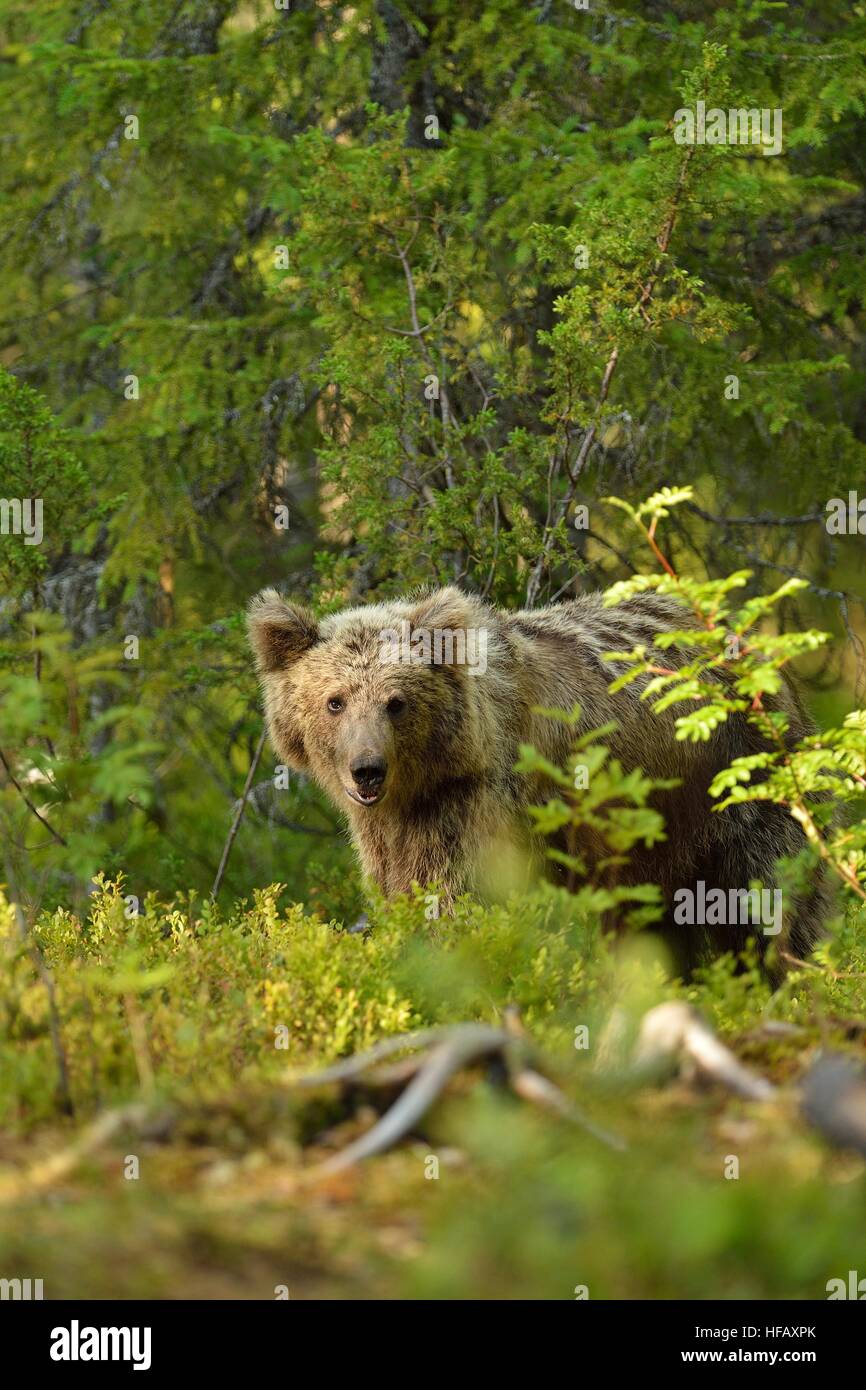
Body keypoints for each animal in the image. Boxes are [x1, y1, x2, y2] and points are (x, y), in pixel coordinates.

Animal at [247, 581, 828, 973]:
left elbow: (459, 901)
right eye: (335, 701)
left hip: (741, 784)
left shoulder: (483, 811)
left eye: (396, 702)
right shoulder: (395, 832)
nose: (367, 770)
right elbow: (405, 890)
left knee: (764, 897)